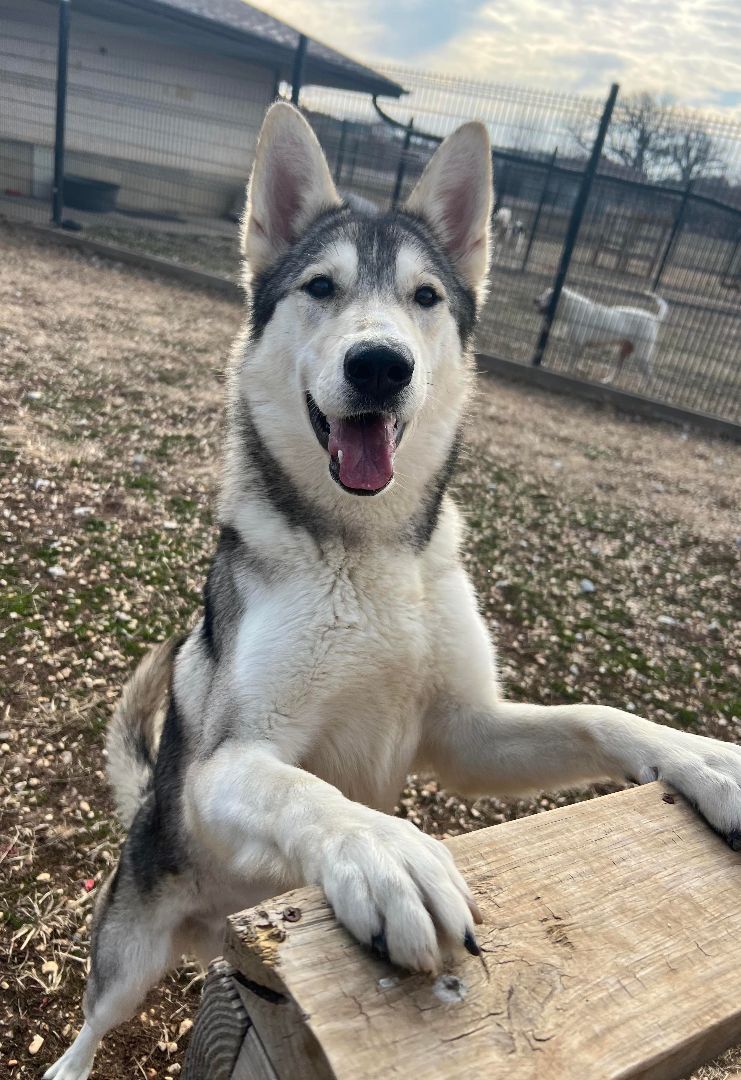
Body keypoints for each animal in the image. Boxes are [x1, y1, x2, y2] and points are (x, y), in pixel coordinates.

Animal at [537, 282, 669, 380]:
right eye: (543, 293)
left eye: (549, 296)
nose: (535, 300)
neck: (572, 309)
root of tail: (654, 318)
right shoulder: (580, 346)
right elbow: (576, 362)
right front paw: (579, 369)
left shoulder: (578, 345)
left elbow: (571, 362)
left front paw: (568, 371)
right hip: (623, 352)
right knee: (618, 371)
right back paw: (607, 380)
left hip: (642, 356)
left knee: (650, 377)